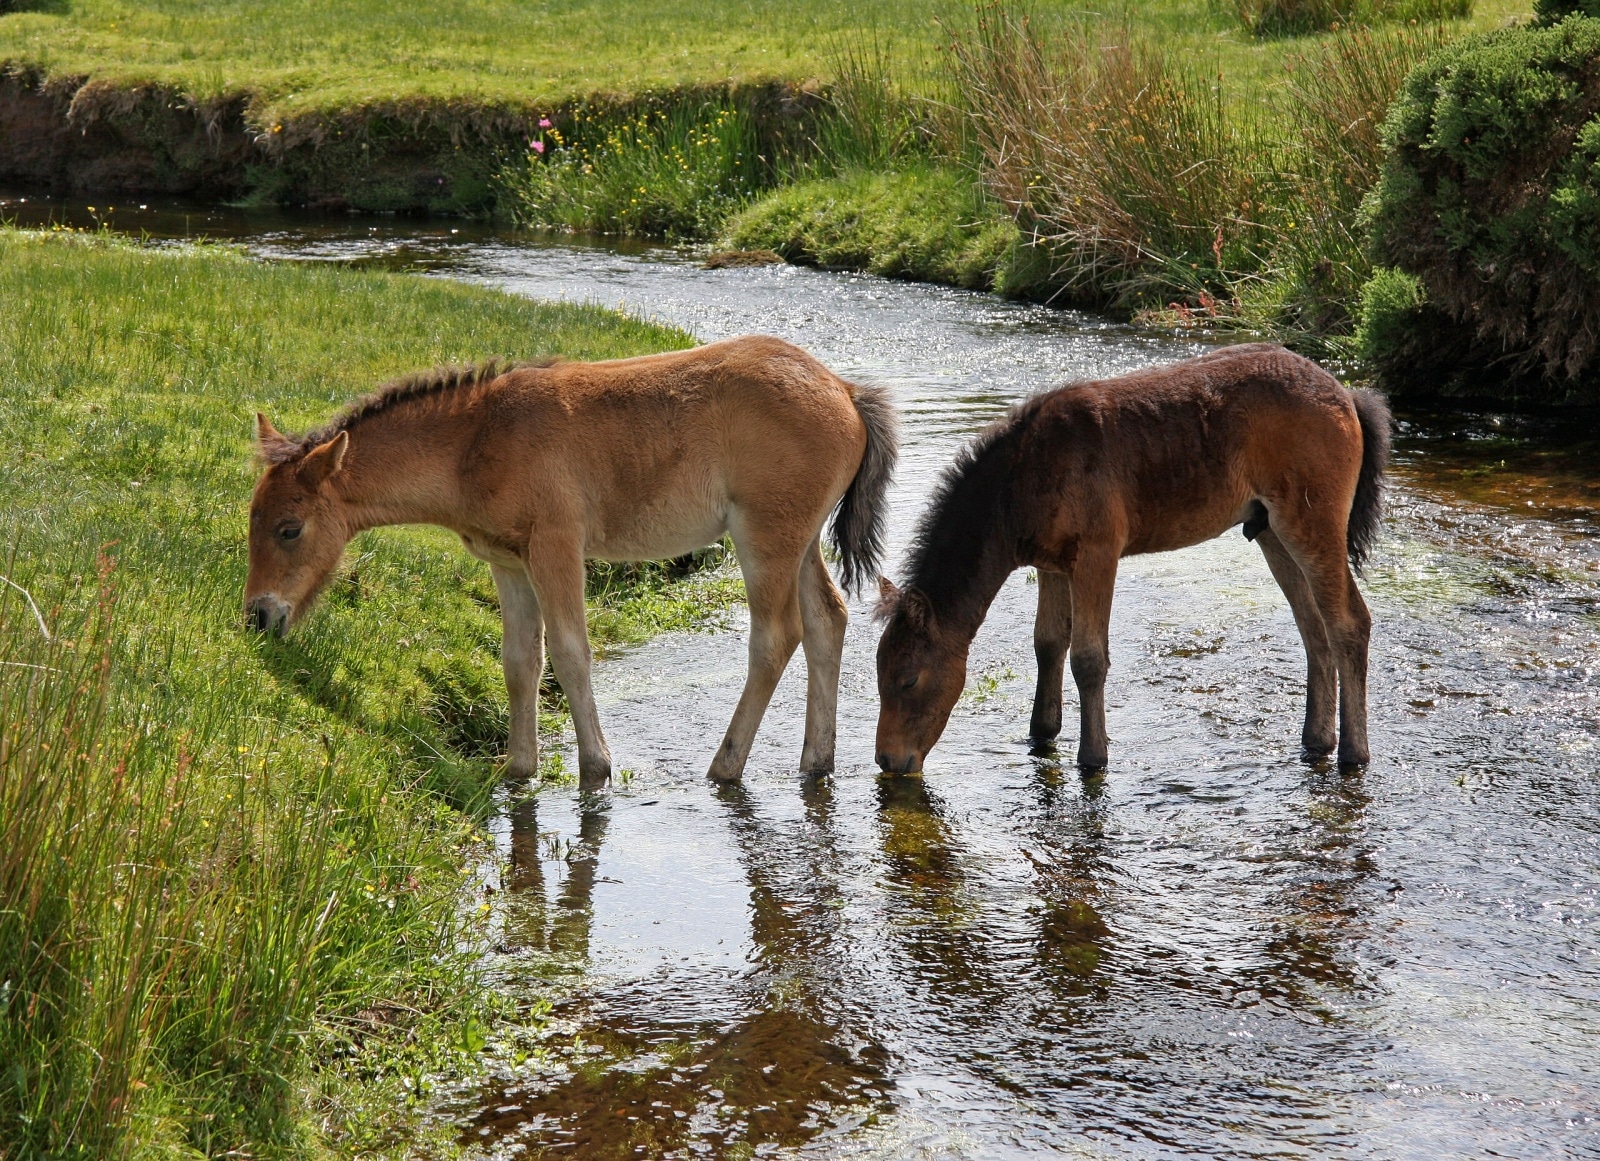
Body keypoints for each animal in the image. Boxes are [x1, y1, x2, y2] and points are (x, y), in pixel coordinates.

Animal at [244, 335, 897, 788]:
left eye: (289, 529)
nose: (258, 616)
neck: (477, 440)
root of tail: (843, 390)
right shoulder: (508, 562)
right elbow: (519, 661)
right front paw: (518, 767)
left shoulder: (556, 546)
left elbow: (569, 652)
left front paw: (594, 768)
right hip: (801, 541)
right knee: (828, 619)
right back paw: (817, 761)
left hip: (764, 538)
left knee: (776, 636)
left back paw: (725, 766)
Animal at [874, 344, 1390, 774]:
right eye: (880, 672)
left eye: (908, 680)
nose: (888, 760)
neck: (1017, 491)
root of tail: (1348, 396)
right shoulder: (1051, 564)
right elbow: (1047, 644)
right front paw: (1042, 734)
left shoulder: (1099, 552)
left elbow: (1088, 658)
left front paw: (1093, 756)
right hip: (1270, 532)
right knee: (1313, 627)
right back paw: (1316, 740)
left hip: (1311, 519)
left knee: (1349, 622)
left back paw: (1353, 752)